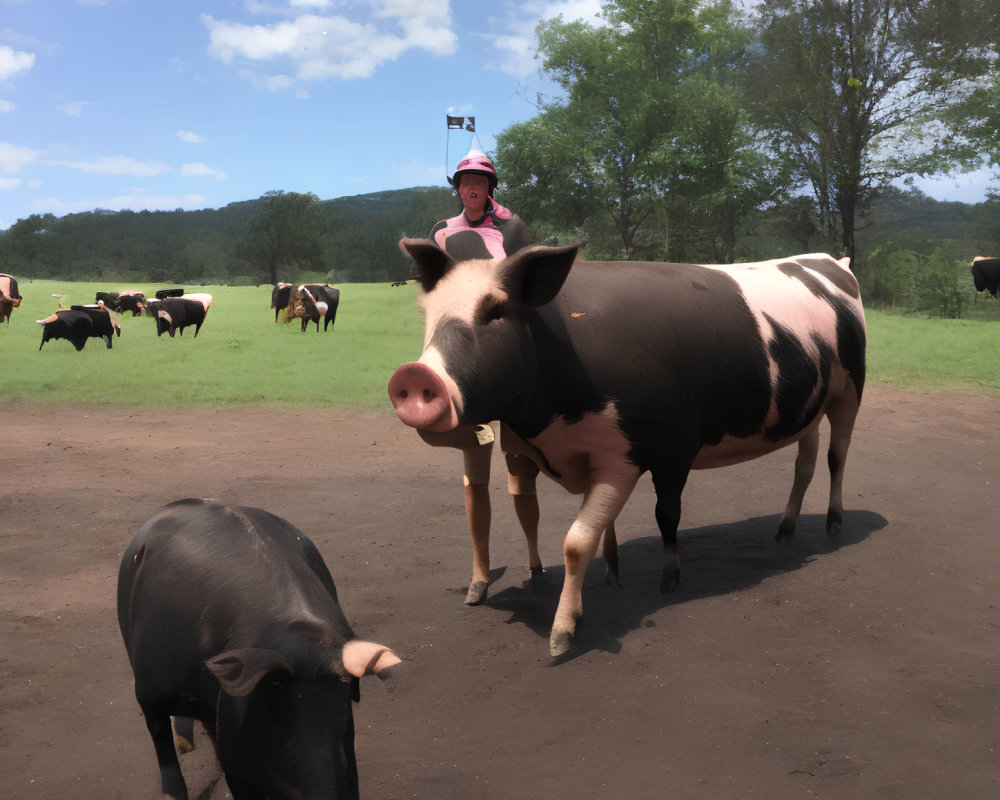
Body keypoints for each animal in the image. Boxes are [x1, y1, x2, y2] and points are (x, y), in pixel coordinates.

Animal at [390, 239, 868, 656]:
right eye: (428, 312)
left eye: (496, 309)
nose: (414, 374)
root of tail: (831, 261)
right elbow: (597, 527)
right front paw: (611, 574)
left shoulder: (663, 452)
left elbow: (606, 532)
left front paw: (569, 633)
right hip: (807, 406)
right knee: (804, 462)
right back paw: (784, 533)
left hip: (849, 390)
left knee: (837, 455)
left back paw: (833, 525)